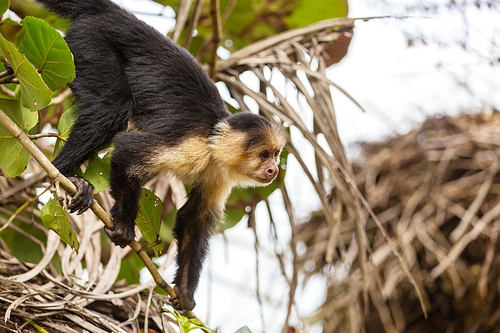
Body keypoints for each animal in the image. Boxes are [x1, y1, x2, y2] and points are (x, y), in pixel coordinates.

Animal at [37, 0, 288, 310]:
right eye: (264, 154)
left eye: (276, 154)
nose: (274, 170)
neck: (213, 146)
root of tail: (114, 14)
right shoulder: (192, 148)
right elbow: (127, 151)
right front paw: (124, 224)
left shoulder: (219, 175)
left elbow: (195, 217)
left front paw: (184, 290)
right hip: (90, 42)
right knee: (112, 108)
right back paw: (63, 173)